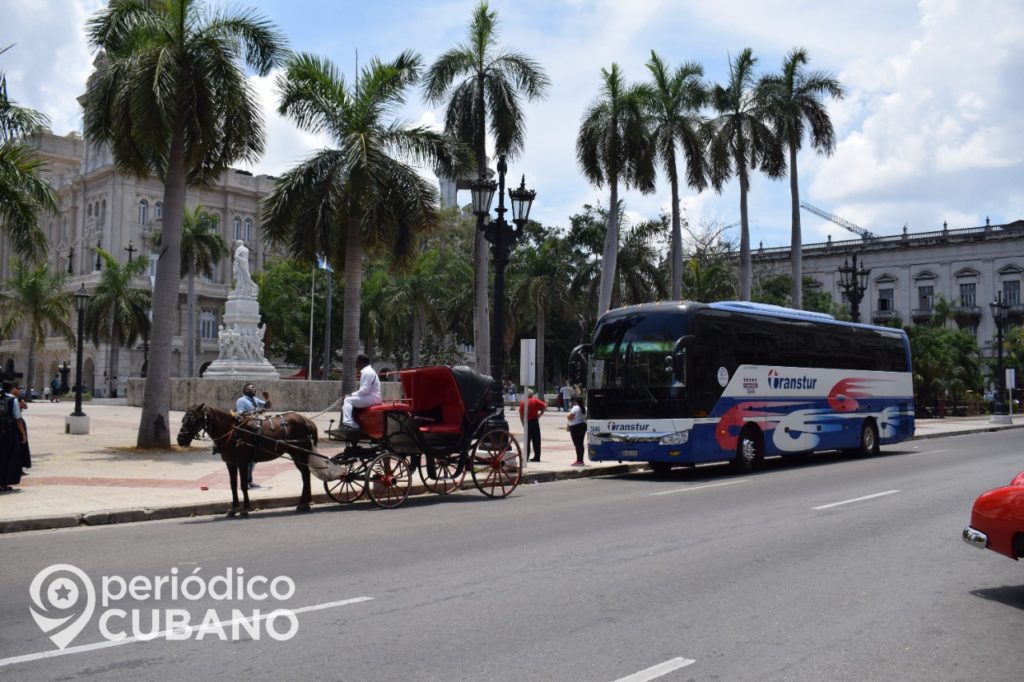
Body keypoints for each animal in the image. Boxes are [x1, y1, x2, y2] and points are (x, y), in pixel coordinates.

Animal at [178, 403, 317, 516]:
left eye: (193, 420)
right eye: (183, 420)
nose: (180, 439)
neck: (232, 431)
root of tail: (306, 421)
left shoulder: (243, 463)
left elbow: (243, 485)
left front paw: (245, 508)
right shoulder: (230, 463)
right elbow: (233, 485)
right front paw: (233, 508)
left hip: (301, 453)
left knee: (306, 474)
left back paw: (305, 503)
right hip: (295, 454)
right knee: (305, 474)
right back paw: (305, 502)